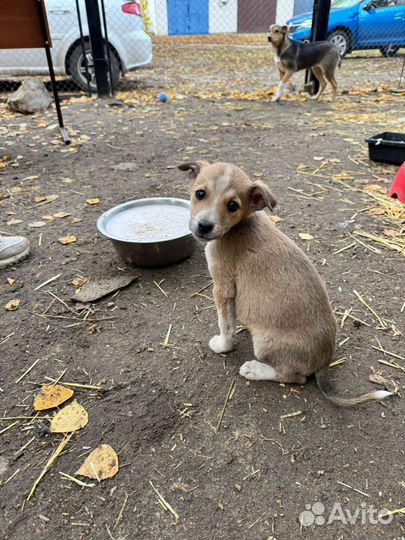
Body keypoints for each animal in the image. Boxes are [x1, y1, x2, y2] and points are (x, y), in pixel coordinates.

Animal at [178, 160, 392, 404]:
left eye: (232, 206)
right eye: (200, 194)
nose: (204, 226)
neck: (239, 225)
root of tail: (324, 363)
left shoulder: (223, 288)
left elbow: (225, 324)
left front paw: (223, 345)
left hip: (265, 344)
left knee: (294, 377)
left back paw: (254, 369)